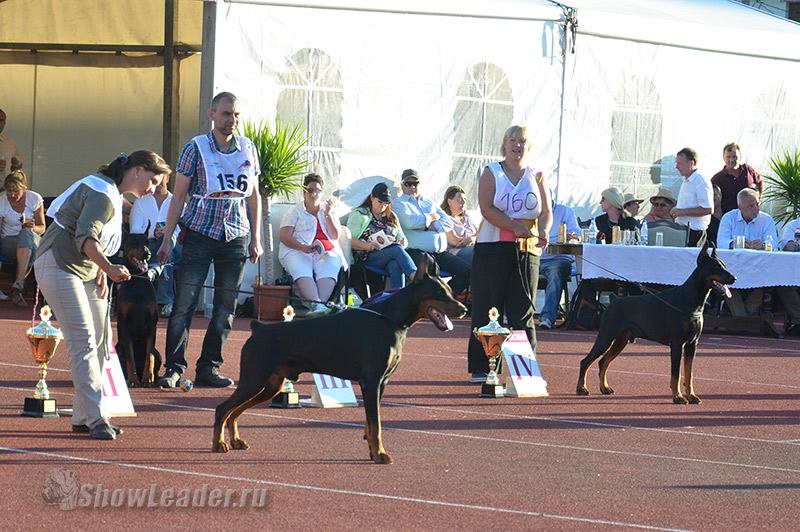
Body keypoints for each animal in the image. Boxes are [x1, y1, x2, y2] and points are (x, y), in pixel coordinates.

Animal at [115, 231, 161, 384]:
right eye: (134, 241)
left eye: (147, 242)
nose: (147, 253)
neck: (138, 280)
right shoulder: (124, 325)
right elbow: (130, 357)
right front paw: (133, 379)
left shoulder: (152, 324)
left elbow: (149, 355)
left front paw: (148, 377)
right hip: (118, 348)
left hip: (159, 354)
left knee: (154, 356)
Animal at [212, 262, 466, 462]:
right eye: (439, 292)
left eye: (450, 290)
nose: (463, 309)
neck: (391, 318)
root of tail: (258, 328)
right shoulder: (371, 381)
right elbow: (376, 424)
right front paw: (380, 454)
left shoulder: (382, 383)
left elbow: (371, 423)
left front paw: (373, 451)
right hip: (255, 379)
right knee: (223, 408)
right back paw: (218, 444)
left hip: (270, 385)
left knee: (234, 412)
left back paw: (236, 441)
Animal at [576, 241, 736, 404]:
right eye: (715, 267)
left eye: (724, 265)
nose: (734, 278)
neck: (692, 300)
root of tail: (613, 301)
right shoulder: (677, 343)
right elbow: (676, 374)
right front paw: (678, 397)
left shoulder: (692, 344)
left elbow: (689, 373)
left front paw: (691, 396)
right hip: (606, 336)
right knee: (586, 361)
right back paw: (581, 389)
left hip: (622, 340)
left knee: (603, 362)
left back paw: (604, 388)